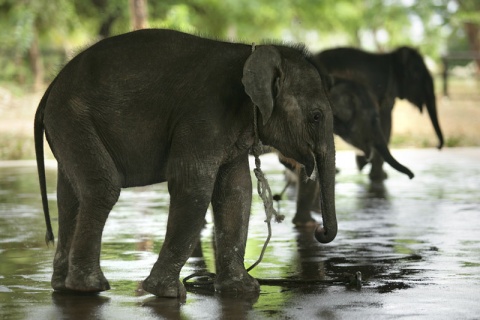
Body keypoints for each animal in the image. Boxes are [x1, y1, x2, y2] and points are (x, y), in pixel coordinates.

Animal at [33, 28, 336, 298]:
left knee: (70, 197)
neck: (251, 53)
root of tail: (51, 88)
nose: (319, 231)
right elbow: (193, 186)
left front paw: (243, 290)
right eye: (316, 116)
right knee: (102, 189)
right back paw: (89, 287)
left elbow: (236, 192)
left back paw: (63, 286)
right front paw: (167, 293)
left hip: (68, 124)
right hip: (73, 117)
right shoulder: (204, 117)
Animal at [314, 47, 444, 181]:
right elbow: (386, 121)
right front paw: (379, 176)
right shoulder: (385, 92)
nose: (437, 146)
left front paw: (366, 166)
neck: (391, 56)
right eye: (416, 75)